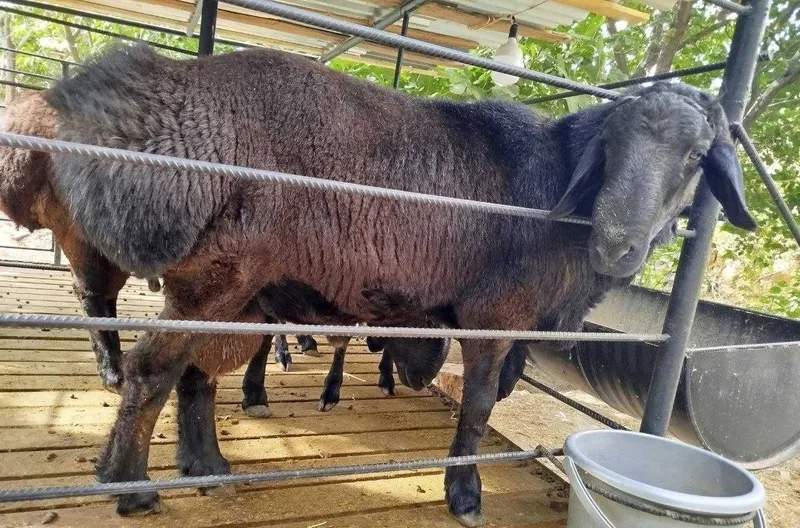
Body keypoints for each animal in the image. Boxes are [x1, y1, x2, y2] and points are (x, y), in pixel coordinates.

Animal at [42, 45, 755, 524]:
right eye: (610, 149)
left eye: (697, 156)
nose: (618, 242)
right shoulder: (496, 313)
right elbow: (479, 405)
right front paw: (464, 494)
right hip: (216, 273)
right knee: (149, 367)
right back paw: (129, 487)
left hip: (235, 289)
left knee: (195, 372)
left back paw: (206, 467)